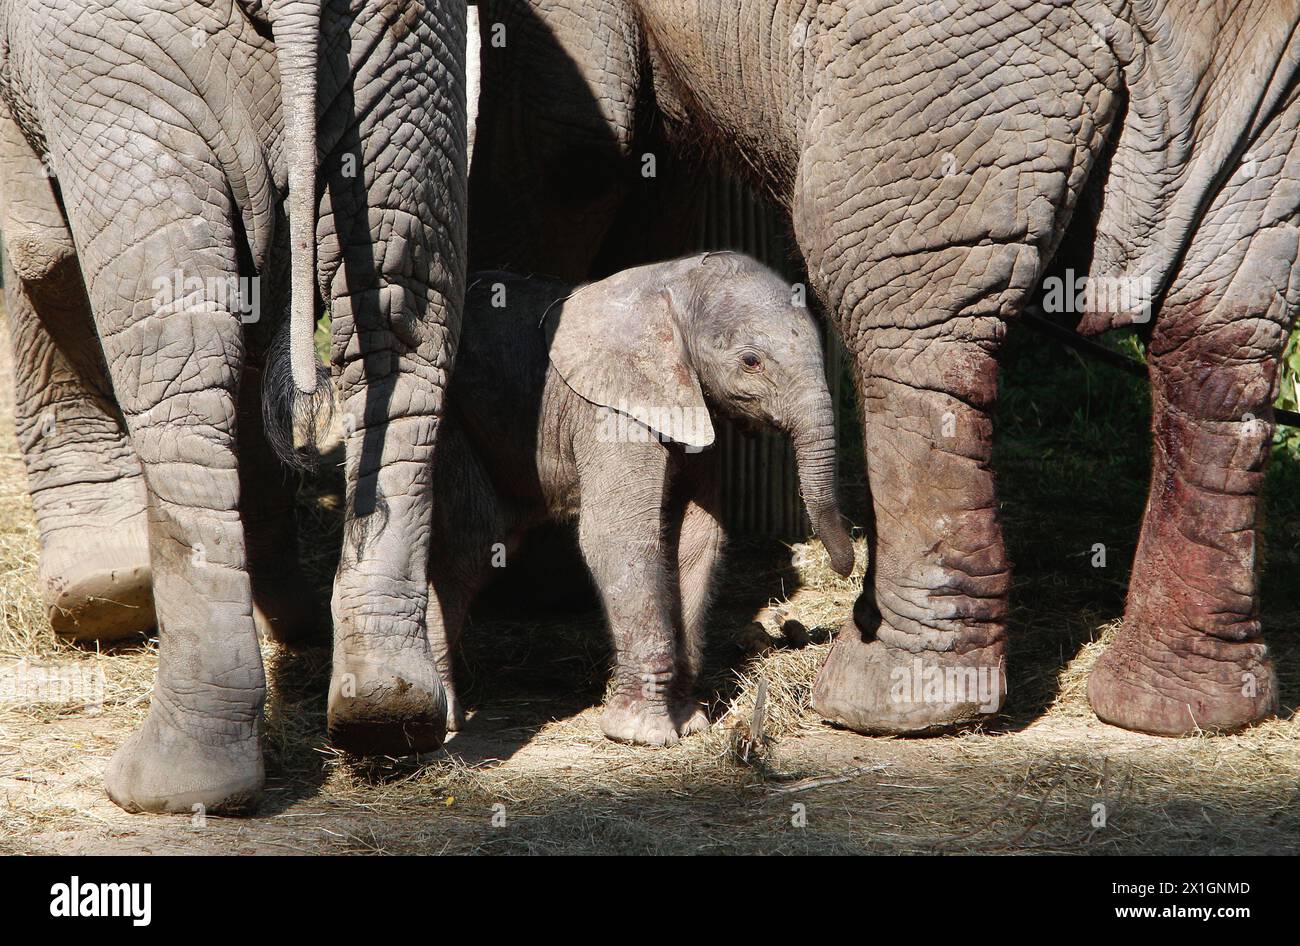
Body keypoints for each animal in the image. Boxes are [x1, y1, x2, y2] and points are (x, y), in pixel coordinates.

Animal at [0, 0, 467, 812]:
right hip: (402, 48)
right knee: (402, 315)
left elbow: (41, 253)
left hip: (113, 60)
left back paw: (172, 785)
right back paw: (391, 710)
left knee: (173, 343)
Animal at [427, 252, 854, 745]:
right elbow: (618, 537)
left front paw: (689, 721)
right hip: (448, 421)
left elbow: (695, 539)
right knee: (472, 543)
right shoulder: (612, 410)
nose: (844, 568)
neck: (674, 285)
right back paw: (444, 721)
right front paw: (643, 734)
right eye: (751, 361)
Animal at [467, 1, 1300, 737]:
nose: (834, 570)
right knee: (1220, 333)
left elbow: (568, 150)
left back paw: (893, 701)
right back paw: (1181, 709)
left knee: (904, 313)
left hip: (944, 66)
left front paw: (530, 582)